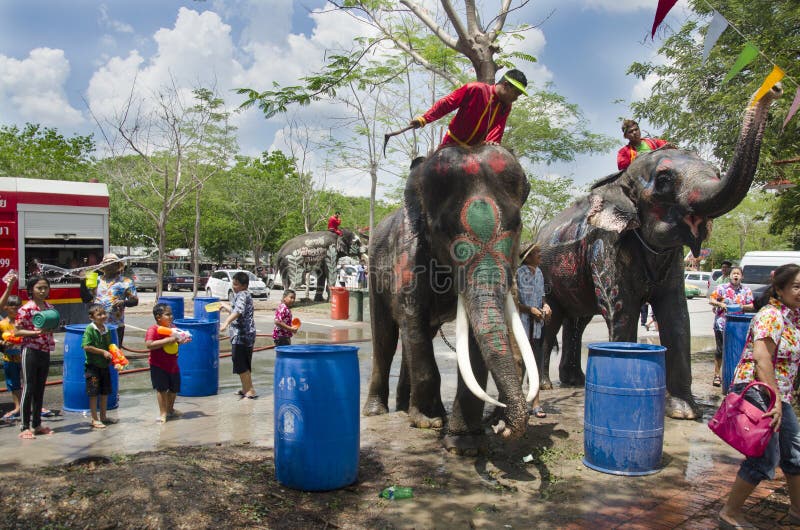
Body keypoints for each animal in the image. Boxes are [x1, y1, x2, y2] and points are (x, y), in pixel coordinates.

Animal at [360, 144, 536, 454]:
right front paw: (428, 423)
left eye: (517, 225)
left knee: (417, 338)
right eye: (443, 230)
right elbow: (411, 316)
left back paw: (407, 408)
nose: (501, 427)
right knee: (386, 338)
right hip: (374, 274)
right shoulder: (409, 256)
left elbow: (472, 343)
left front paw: (464, 444)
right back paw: (380, 412)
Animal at [536, 84, 784, 418]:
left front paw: (685, 412)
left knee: (579, 320)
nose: (776, 88)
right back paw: (548, 385)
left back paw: (574, 381)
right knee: (553, 320)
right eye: (665, 180)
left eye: (716, 171)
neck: (621, 179)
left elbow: (676, 314)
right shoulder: (606, 245)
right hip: (546, 273)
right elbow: (622, 310)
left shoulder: (671, 259)